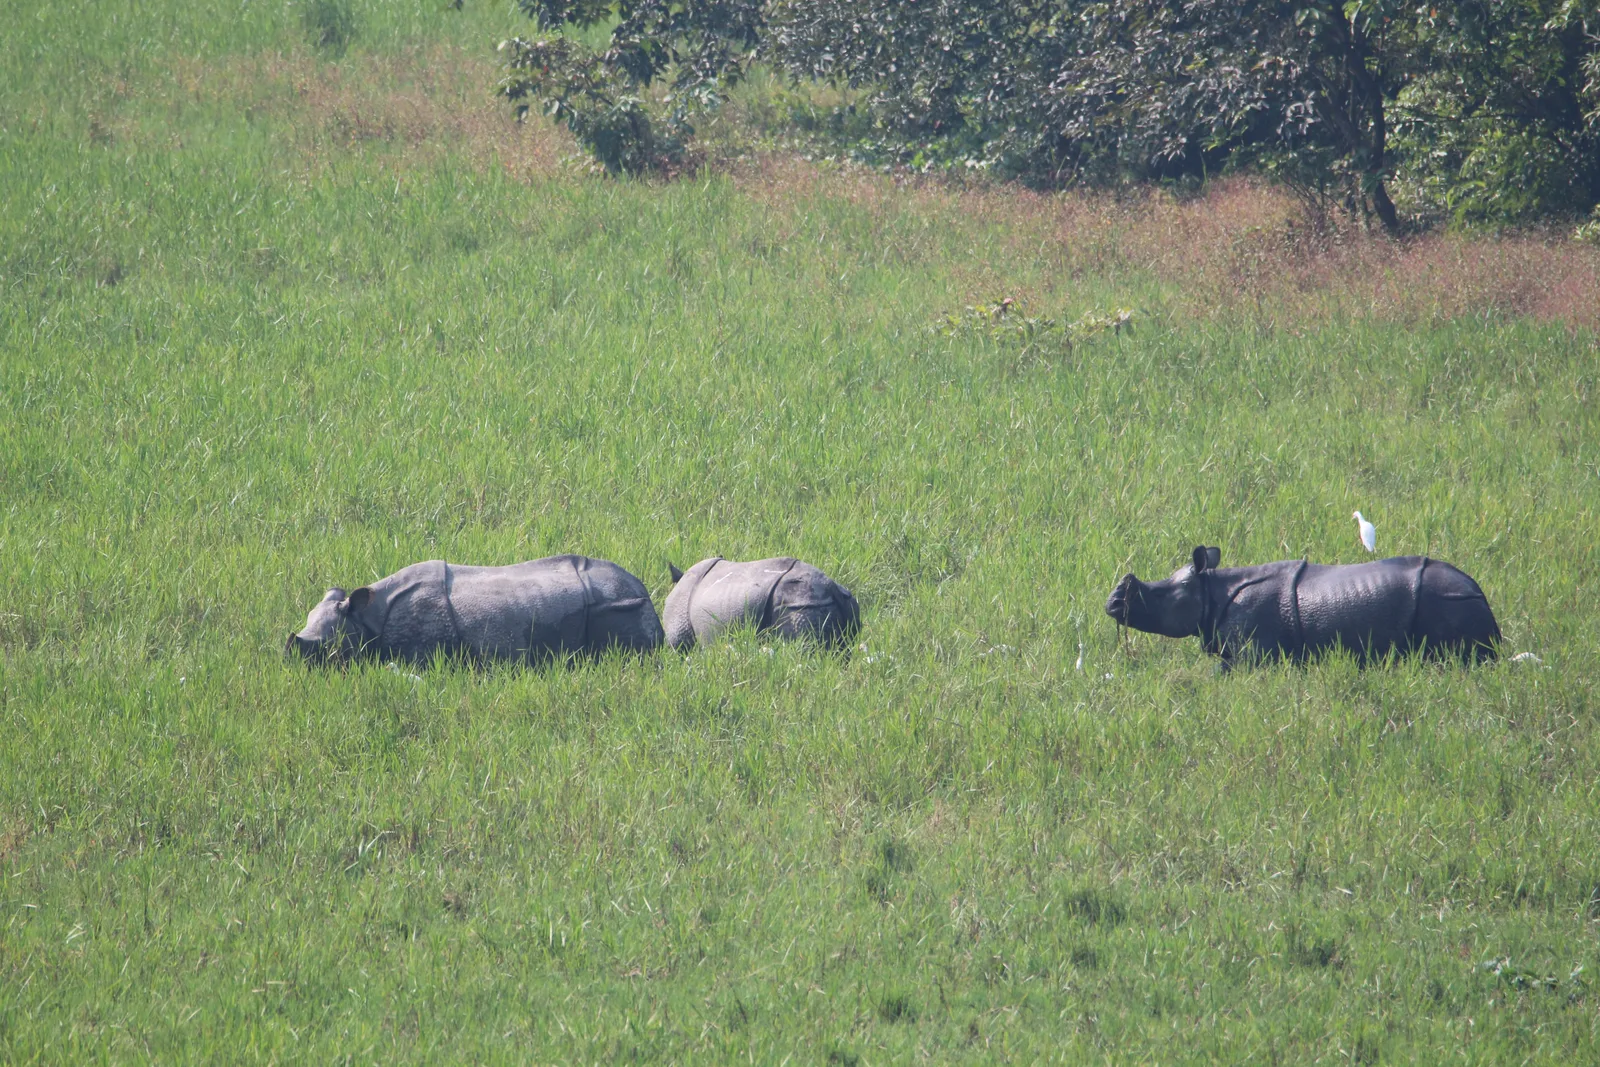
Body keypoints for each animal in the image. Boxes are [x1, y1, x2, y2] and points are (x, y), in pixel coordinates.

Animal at [1104, 546, 1500, 666]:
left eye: (1160, 595)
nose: (1112, 603)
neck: (1211, 589)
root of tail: (1479, 593)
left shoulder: (1251, 651)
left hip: (1445, 602)